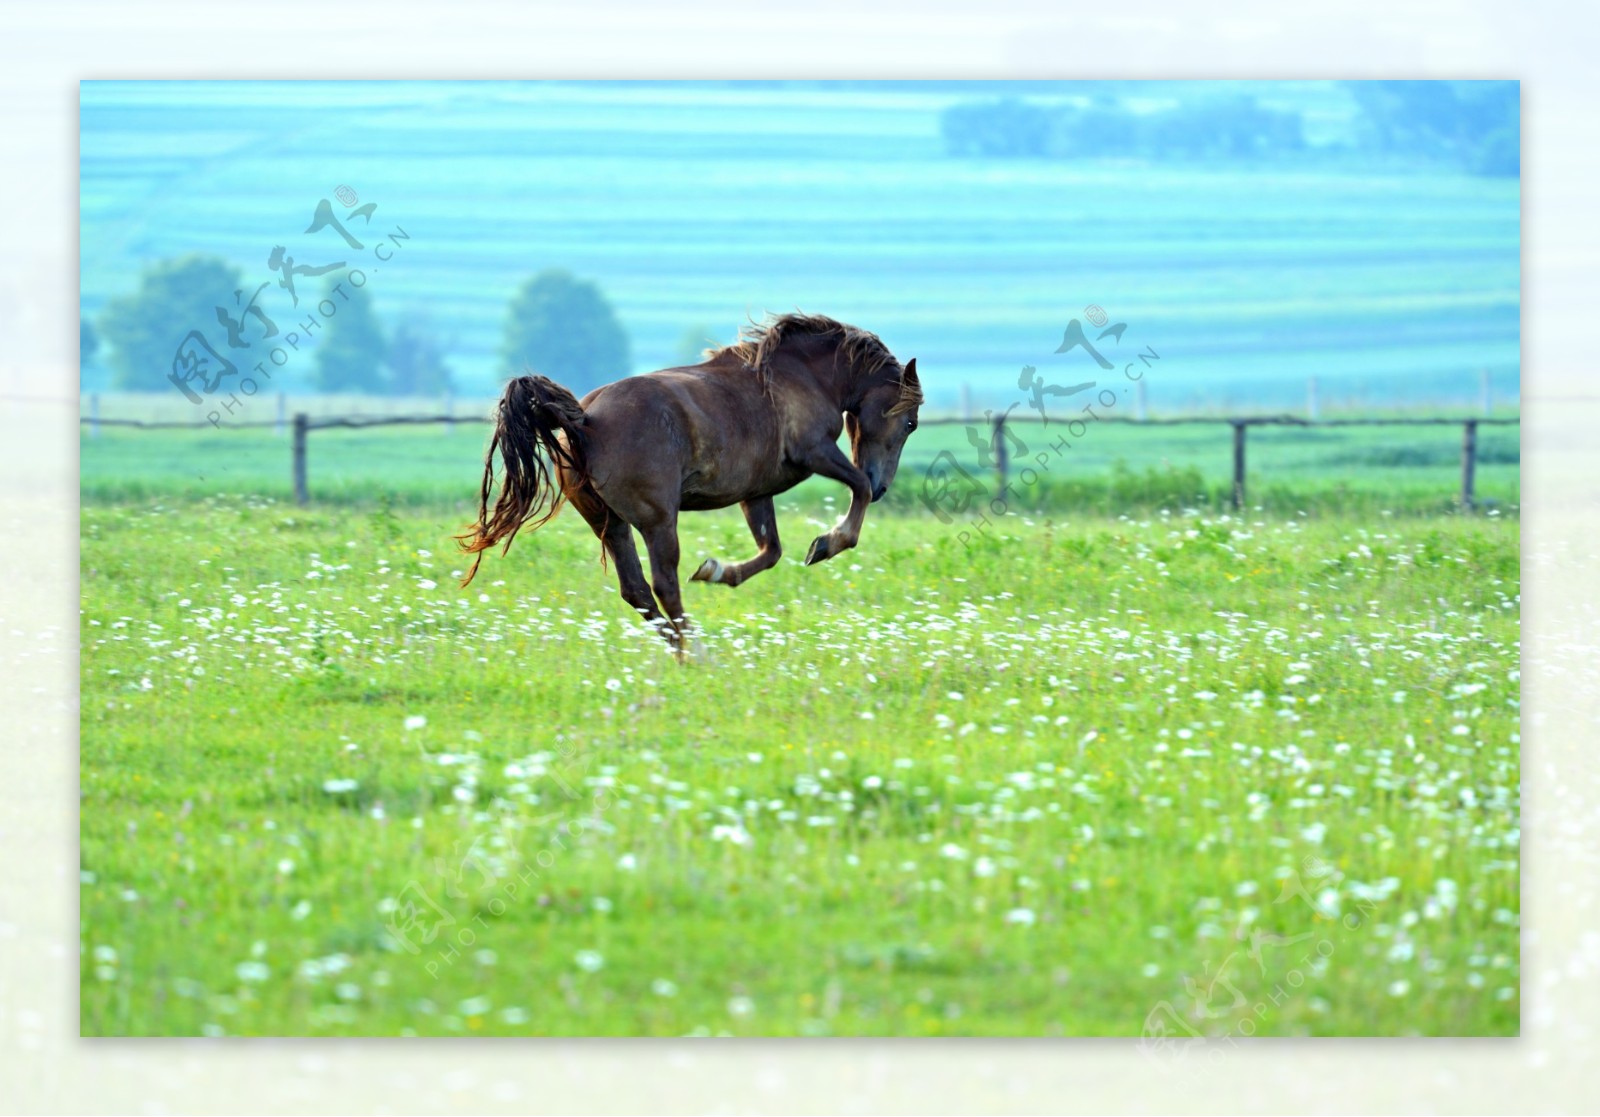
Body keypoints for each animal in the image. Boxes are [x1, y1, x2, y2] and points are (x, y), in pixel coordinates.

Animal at [457, 310, 921, 643]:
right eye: (911, 422)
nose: (883, 485)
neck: (803, 375)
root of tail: (585, 420)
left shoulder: (756, 491)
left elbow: (770, 550)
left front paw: (717, 571)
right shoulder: (815, 451)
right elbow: (854, 491)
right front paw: (827, 543)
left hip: (611, 524)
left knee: (637, 590)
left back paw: (685, 650)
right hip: (658, 521)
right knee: (664, 585)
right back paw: (697, 649)